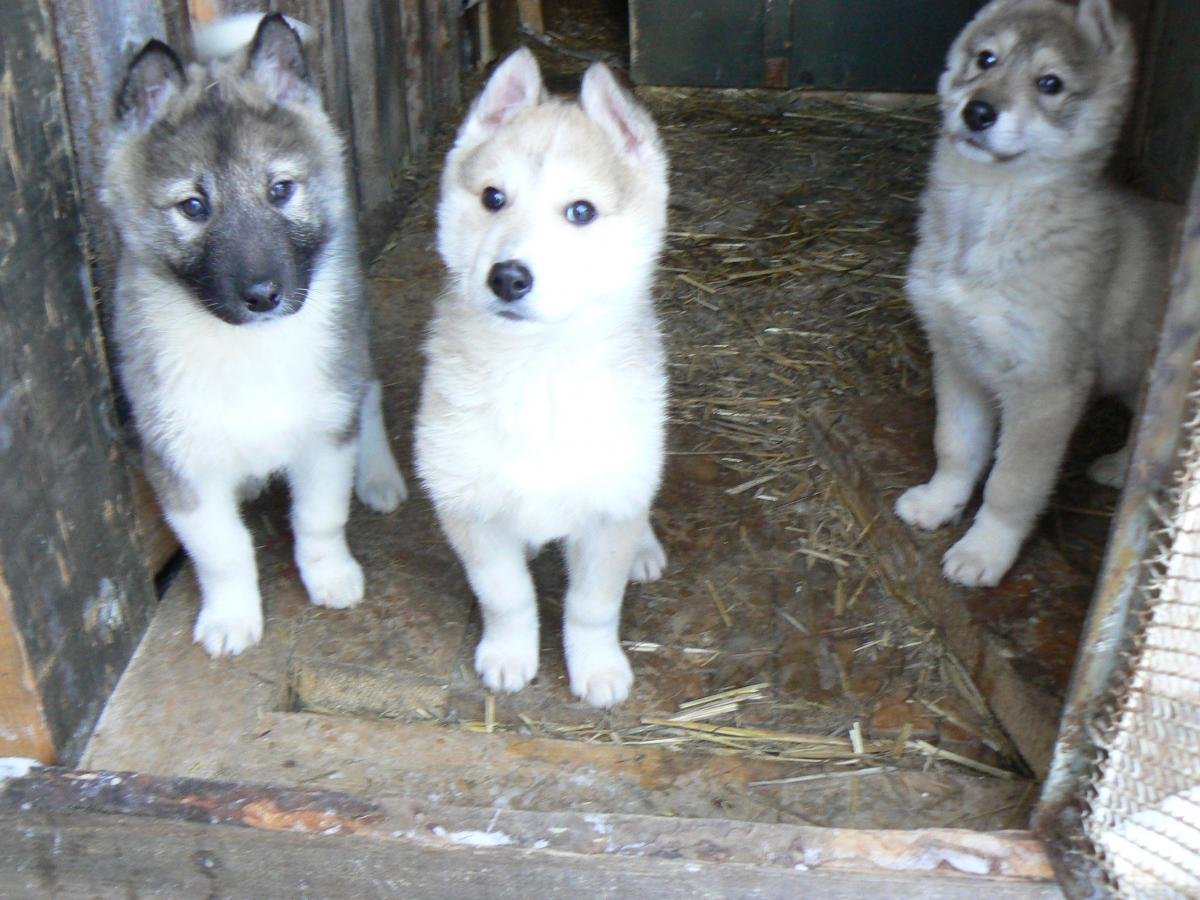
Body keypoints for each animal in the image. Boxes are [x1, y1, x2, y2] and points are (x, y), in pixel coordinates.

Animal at [104, 15, 403, 657]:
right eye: (193, 206)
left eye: (280, 190)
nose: (264, 296)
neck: (247, 351)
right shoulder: (177, 461)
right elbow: (221, 550)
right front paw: (230, 617)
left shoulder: (322, 435)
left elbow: (320, 518)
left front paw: (331, 576)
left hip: (351, 335)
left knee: (368, 392)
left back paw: (379, 475)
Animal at [897, 0, 1176, 588]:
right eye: (986, 58)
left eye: (1050, 83)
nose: (979, 111)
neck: (987, 212)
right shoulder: (955, 358)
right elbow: (956, 446)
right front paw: (939, 502)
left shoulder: (1046, 389)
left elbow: (1010, 483)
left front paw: (985, 549)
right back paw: (1119, 466)